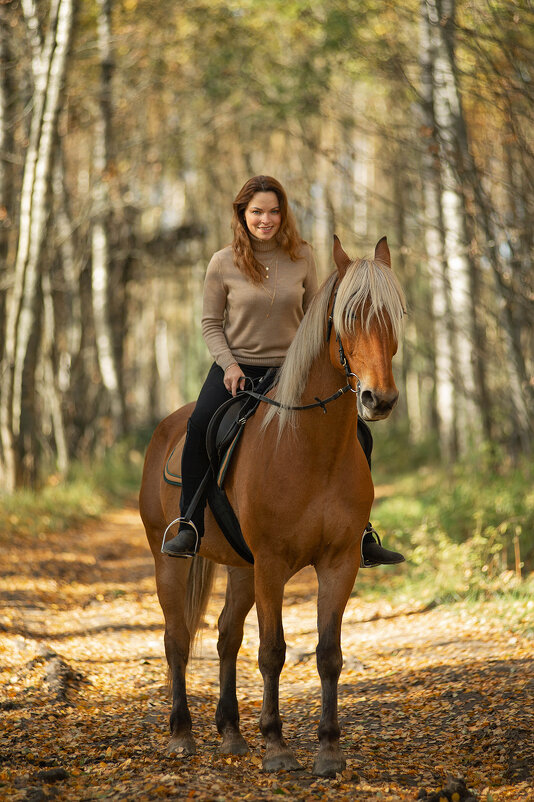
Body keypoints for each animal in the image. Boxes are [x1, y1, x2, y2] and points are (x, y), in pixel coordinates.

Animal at [140, 233, 408, 776]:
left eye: (394, 315)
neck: (309, 448)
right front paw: (278, 746)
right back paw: (182, 735)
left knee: (225, 636)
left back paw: (231, 734)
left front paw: (328, 750)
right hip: (170, 559)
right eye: (348, 316)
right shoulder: (272, 564)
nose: (379, 399)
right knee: (176, 639)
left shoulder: (339, 563)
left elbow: (328, 653)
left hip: (240, 567)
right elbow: (273, 651)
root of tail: (166, 427)